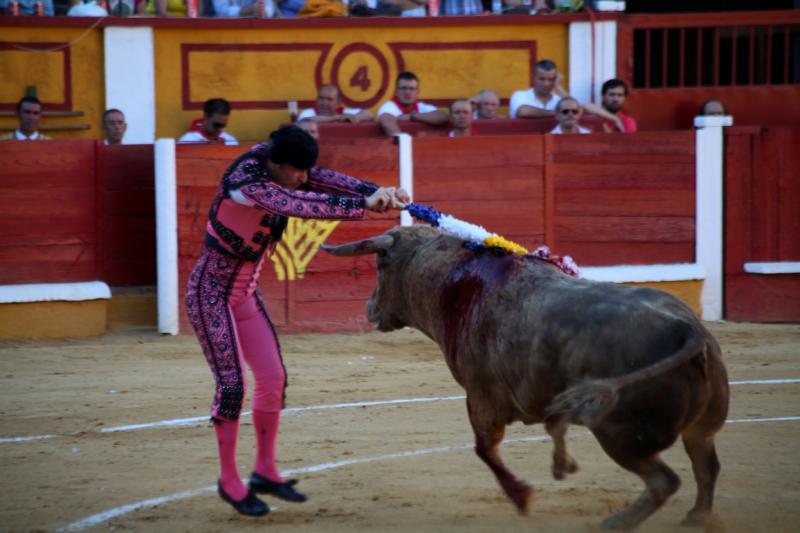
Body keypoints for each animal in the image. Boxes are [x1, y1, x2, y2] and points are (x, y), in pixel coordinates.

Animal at [322, 224, 728, 528]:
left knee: (664, 481)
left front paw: (522, 497)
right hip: (700, 427)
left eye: (380, 263)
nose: (369, 307)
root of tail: (688, 328)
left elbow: (484, 449)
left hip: (620, 432)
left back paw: (617, 522)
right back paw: (697, 517)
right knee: (705, 464)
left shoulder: (482, 399)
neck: (454, 283)